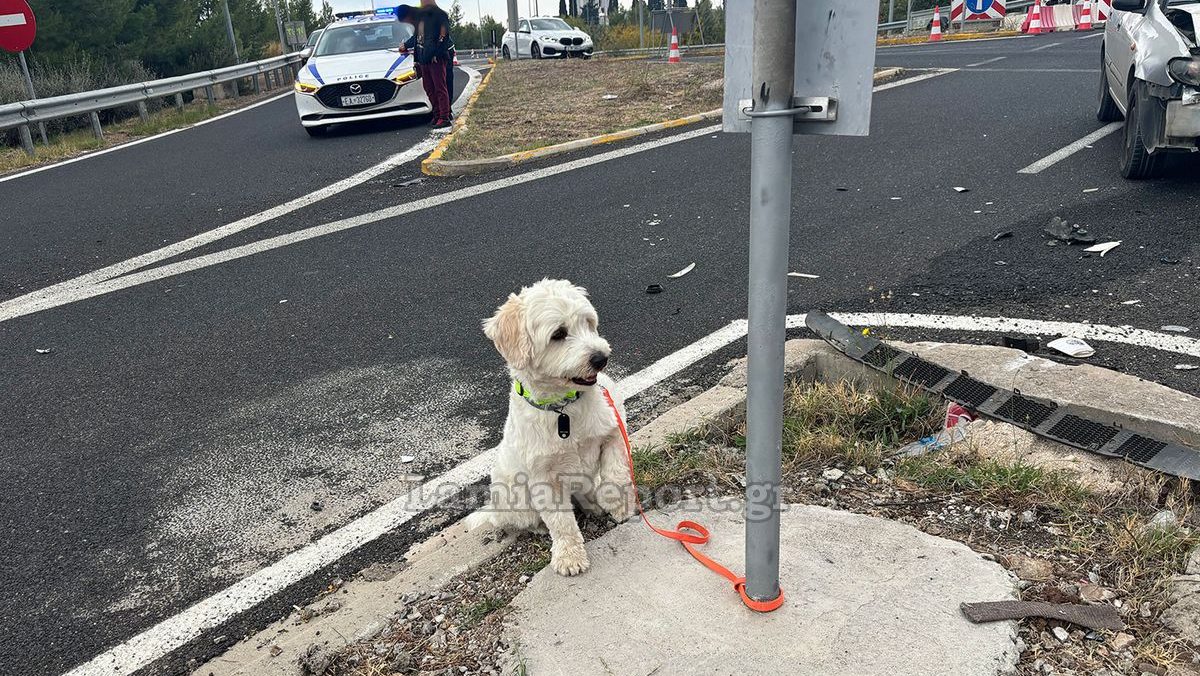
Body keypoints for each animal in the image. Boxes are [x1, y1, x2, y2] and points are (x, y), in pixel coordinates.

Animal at [463, 278, 638, 576]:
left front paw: (618, 505)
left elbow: (615, 473)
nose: (600, 358)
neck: (564, 409)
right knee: (527, 519)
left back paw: (594, 504)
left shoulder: (614, 429)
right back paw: (539, 528)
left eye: (588, 323)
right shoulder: (543, 478)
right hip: (516, 499)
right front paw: (569, 556)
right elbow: (560, 521)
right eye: (558, 334)